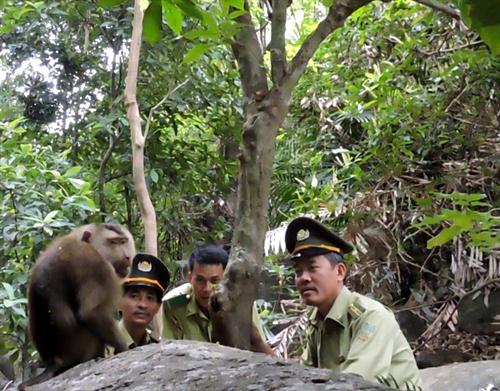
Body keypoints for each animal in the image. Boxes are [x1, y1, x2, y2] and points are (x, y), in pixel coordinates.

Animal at [18, 224, 136, 388]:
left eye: (123, 241)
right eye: (113, 242)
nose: (126, 257)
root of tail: (54, 361)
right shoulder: (96, 266)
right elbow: (91, 312)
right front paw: (123, 349)